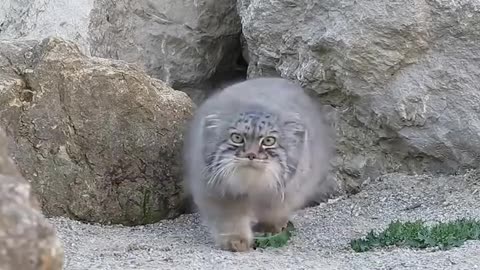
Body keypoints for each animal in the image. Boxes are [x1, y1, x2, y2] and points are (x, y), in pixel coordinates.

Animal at [182, 77, 336, 252]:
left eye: (269, 141)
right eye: (237, 138)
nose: (251, 155)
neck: (252, 187)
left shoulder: (288, 191)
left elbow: (274, 211)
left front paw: (268, 228)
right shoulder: (215, 191)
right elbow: (230, 219)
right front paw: (236, 240)